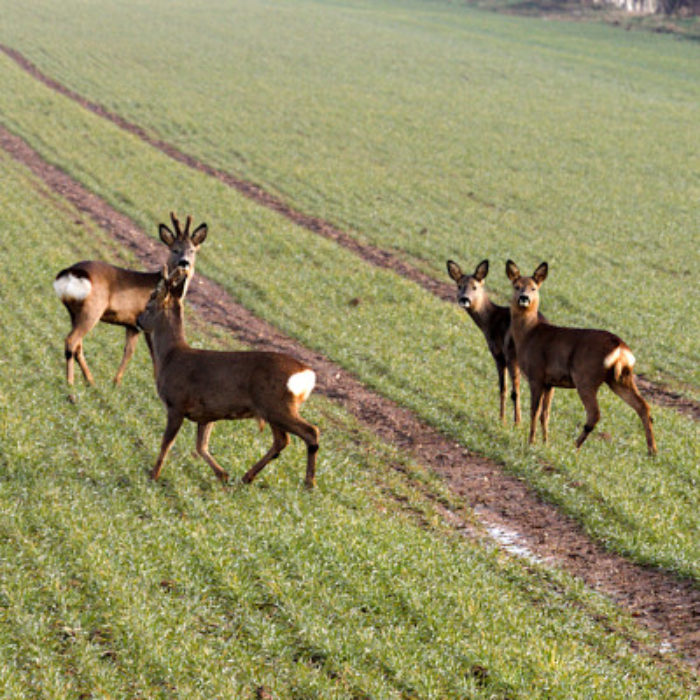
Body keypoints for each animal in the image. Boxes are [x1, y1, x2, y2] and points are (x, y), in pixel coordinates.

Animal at [53, 213, 207, 390]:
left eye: (192, 250)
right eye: (174, 249)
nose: (184, 262)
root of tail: (71, 272)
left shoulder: (133, 326)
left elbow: (129, 351)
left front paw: (116, 382)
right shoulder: (147, 323)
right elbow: (153, 354)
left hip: (75, 312)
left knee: (78, 345)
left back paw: (90, 381)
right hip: (92, 311)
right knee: (71, 341)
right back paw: (70, 383)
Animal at [136, 266, 320, 488]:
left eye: (150, 300)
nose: (137, 320)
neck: (171, 356)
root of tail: (307, 374)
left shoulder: (176, 404)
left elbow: (166, 444)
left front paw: (153, 475)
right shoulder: (207, 413)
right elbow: (201, 447)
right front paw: (223, 474)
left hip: (277, 405)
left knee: (311, 432)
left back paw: (309, 483)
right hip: (272, 409)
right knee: (282, 440)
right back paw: (248, 477)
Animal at [447, 258, 523, 424]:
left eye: (475, 287)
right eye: (459, 285)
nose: (464, 299)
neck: (491, 321)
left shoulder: (498, 353)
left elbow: (503, 388)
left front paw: (502, 420)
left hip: (513, 356)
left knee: (517, 389)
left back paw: (518, 423)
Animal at [505, 260, 656, 455]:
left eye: (533, 288)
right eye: (516, 286)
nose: (524, 298)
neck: (529, 334)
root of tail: (620, 348)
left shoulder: (536, 375)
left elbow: (535, 411)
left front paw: (531, 442)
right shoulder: (550, 383)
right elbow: (545, 414)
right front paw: (545, 443)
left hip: (586, 376)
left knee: (595, 414)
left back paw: (574, 446)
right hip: (620, 378)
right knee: (642, 406)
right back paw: (652, 451)